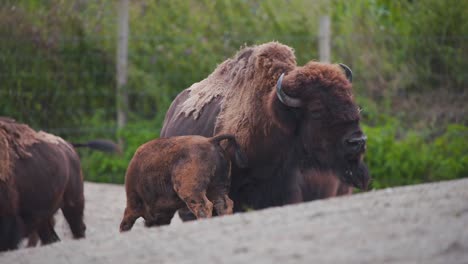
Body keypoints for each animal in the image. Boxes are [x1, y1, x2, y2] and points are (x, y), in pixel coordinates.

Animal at [119, 134, 247, 231]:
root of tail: (211, 141)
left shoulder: (133, 203)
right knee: (224, 204)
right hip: (218, 188)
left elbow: (126, 221)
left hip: (191, 191)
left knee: (204, 206)